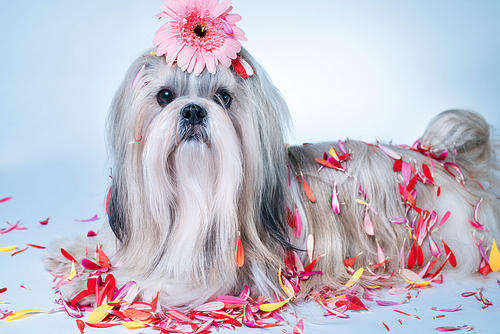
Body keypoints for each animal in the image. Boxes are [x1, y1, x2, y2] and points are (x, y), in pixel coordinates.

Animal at [43, 0, 500, 310]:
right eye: (165, 96)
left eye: (224, 97)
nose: (193, 110)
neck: (196, 191)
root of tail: (437, 159)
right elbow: (114, 245)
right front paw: (73, 254)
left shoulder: (224, 282)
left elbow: (149, 284)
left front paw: (98, 286)